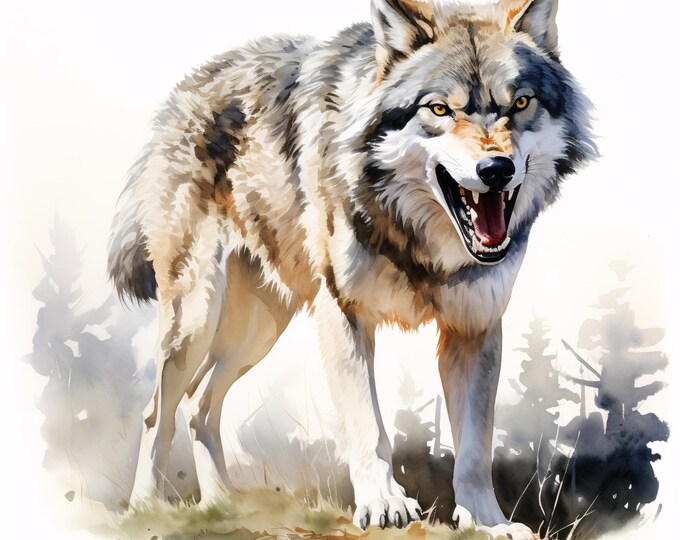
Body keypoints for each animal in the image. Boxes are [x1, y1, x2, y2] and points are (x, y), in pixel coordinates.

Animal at [108, 0, 594, 536]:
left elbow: (473, 448)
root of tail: (185, 89)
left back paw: (221, 506)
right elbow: (367, 425)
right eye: (439, 109)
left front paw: (486, 522)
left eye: (522, 103)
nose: (496, 170)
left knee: (199, 406)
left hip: (258, 330)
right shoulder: (344, 314)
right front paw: (383, 504)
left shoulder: (475, 327)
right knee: (158, 412)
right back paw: (146, 508)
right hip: (196, 320)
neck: (417, 240)